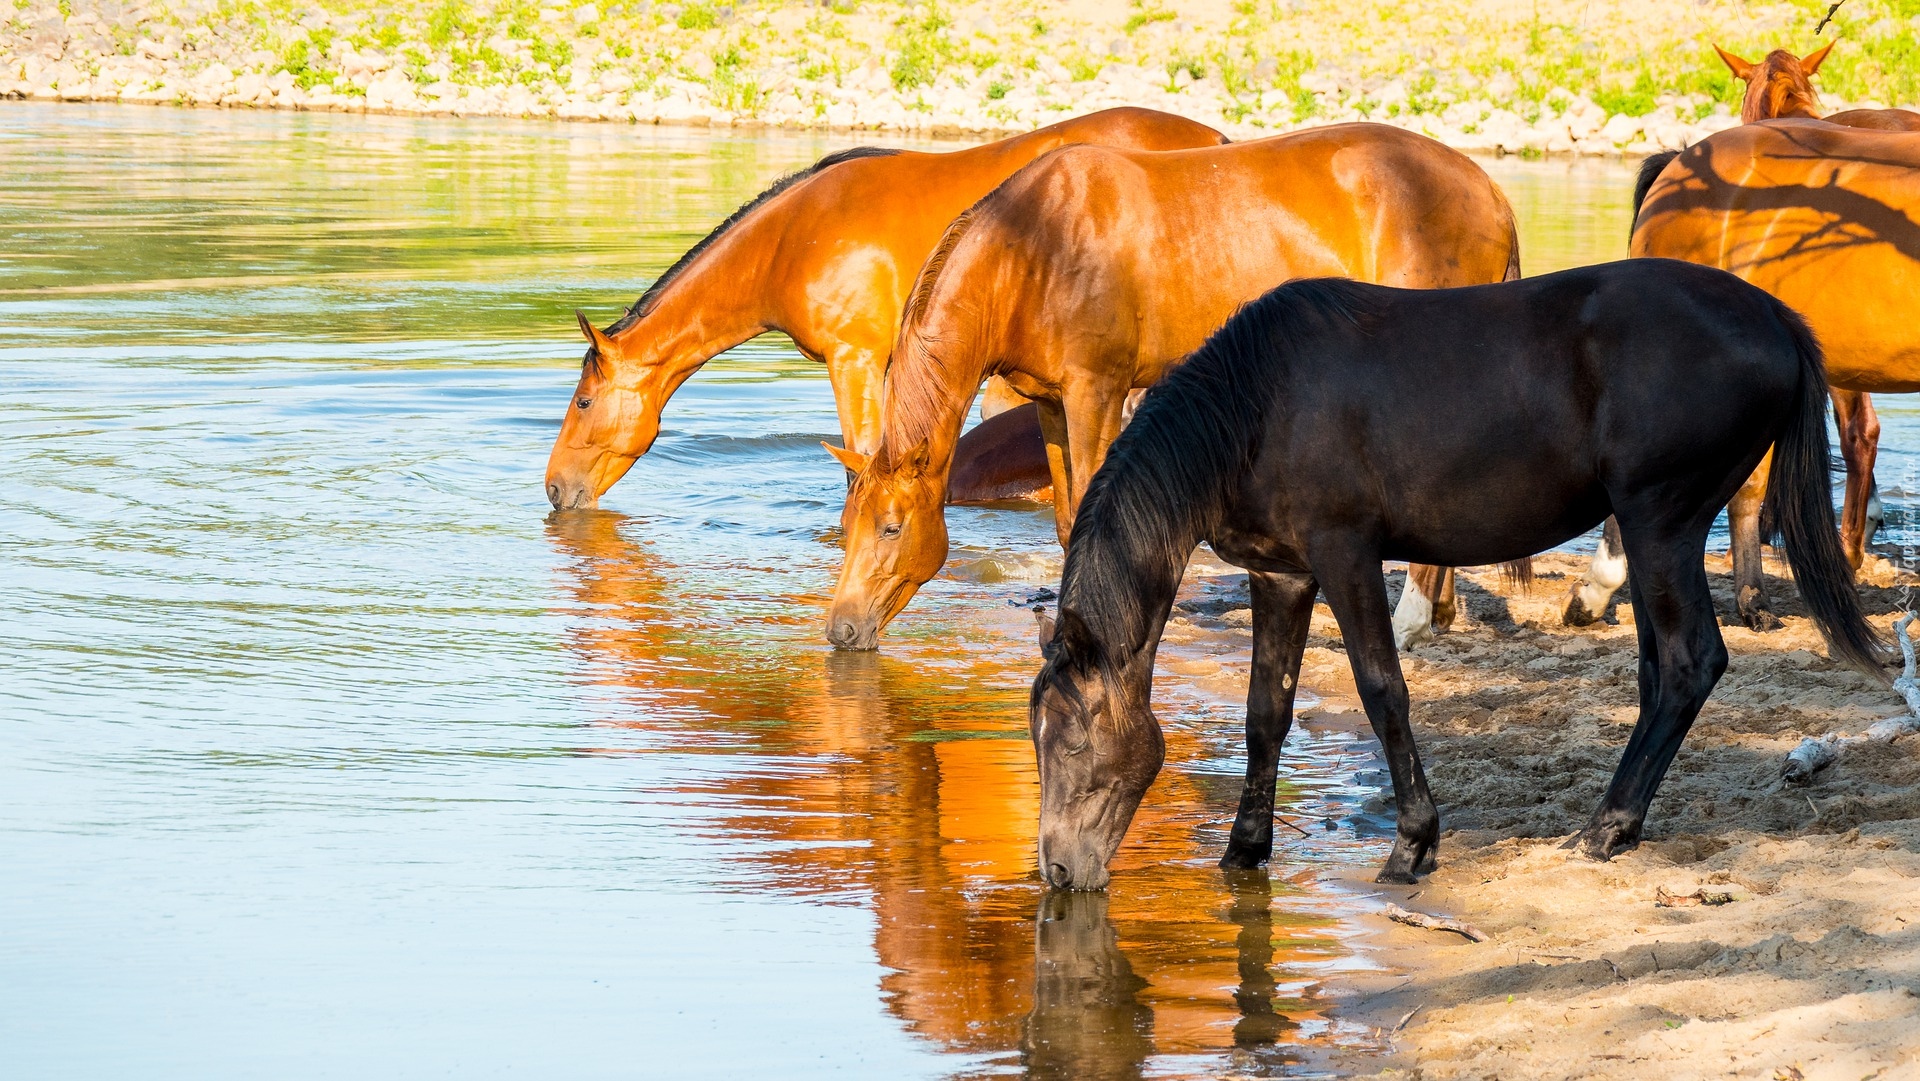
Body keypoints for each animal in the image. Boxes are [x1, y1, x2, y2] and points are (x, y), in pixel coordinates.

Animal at [549, 107, 1221, 510]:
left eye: (583, 402)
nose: (555, 490)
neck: (791, 237)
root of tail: (1214, 141)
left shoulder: (854, 360)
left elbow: (859, 467)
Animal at [817, 124, 1520, 652]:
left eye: (890, 528)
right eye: (846, 528)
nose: (842, 630)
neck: (1035, 247)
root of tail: (1487, 187)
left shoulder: (1096, 393)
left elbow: (1088, 514)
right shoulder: (1050, 404)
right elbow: (1065, 520)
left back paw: (1410, 621)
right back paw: (1438, 616)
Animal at [1029, 259, 1881, 887]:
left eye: (1069, 739)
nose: (1059, 872)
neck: (1258, 403)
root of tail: (1773, 315)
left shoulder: (1345, 554)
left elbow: (1383, 690)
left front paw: (1413, 841)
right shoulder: (1283, 576)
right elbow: (1265, 712)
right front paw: (1244, 848)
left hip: (1659, 523)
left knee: (1687, 662)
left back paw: (1605, 826)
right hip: (1653, 534)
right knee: (1659, 673)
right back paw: (1621, 819)